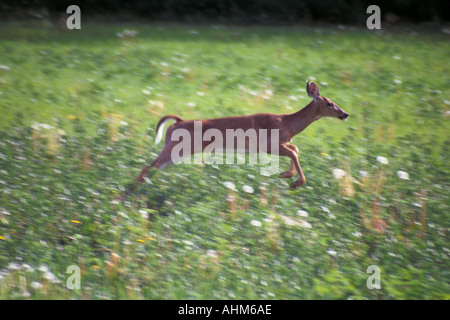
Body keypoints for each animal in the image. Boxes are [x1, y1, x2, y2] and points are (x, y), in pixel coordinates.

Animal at [116, 80, 348, 200]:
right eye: (330, 103)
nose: (345, 114)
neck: (287, 123)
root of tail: (177, 122)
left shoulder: (280, 142)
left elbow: (295, 148)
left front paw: (286, 175)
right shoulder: (267, 145)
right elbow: (293, 150)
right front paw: (296, 182)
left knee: (151, 167)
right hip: (176, 149)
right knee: (148, 166)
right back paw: (124, 195)